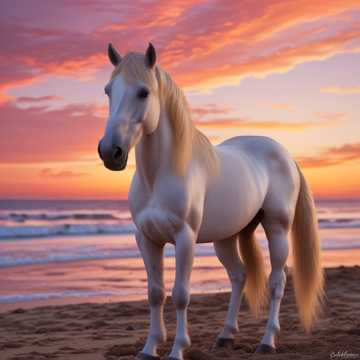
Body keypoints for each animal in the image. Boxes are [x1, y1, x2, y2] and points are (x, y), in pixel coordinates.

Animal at [97, 43, 324, 358]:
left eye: (143, 92)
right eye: (108, 90)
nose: (110, 152)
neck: (160, 176)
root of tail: (285, 155)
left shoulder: (185, 238)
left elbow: (180, 294)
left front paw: (178, 349)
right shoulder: (147, 239)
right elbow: (155, 293)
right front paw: (149, 347)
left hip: (277, 229)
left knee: (277, 282)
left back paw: (267, 341)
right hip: (227, 238)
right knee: (239, 276)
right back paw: (226, 335)